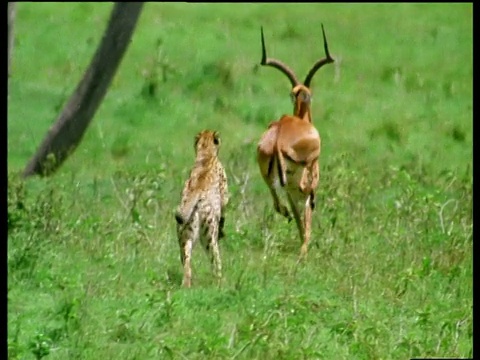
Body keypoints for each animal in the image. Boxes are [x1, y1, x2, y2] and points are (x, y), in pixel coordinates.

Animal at [175, 129, 230, 286]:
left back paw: (186, 284)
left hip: (184, 237)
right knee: (215, 260)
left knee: (186, 262)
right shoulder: (224, 196)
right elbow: (224, 207)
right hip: (209, 236)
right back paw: (219, 281)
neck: (206, 154)